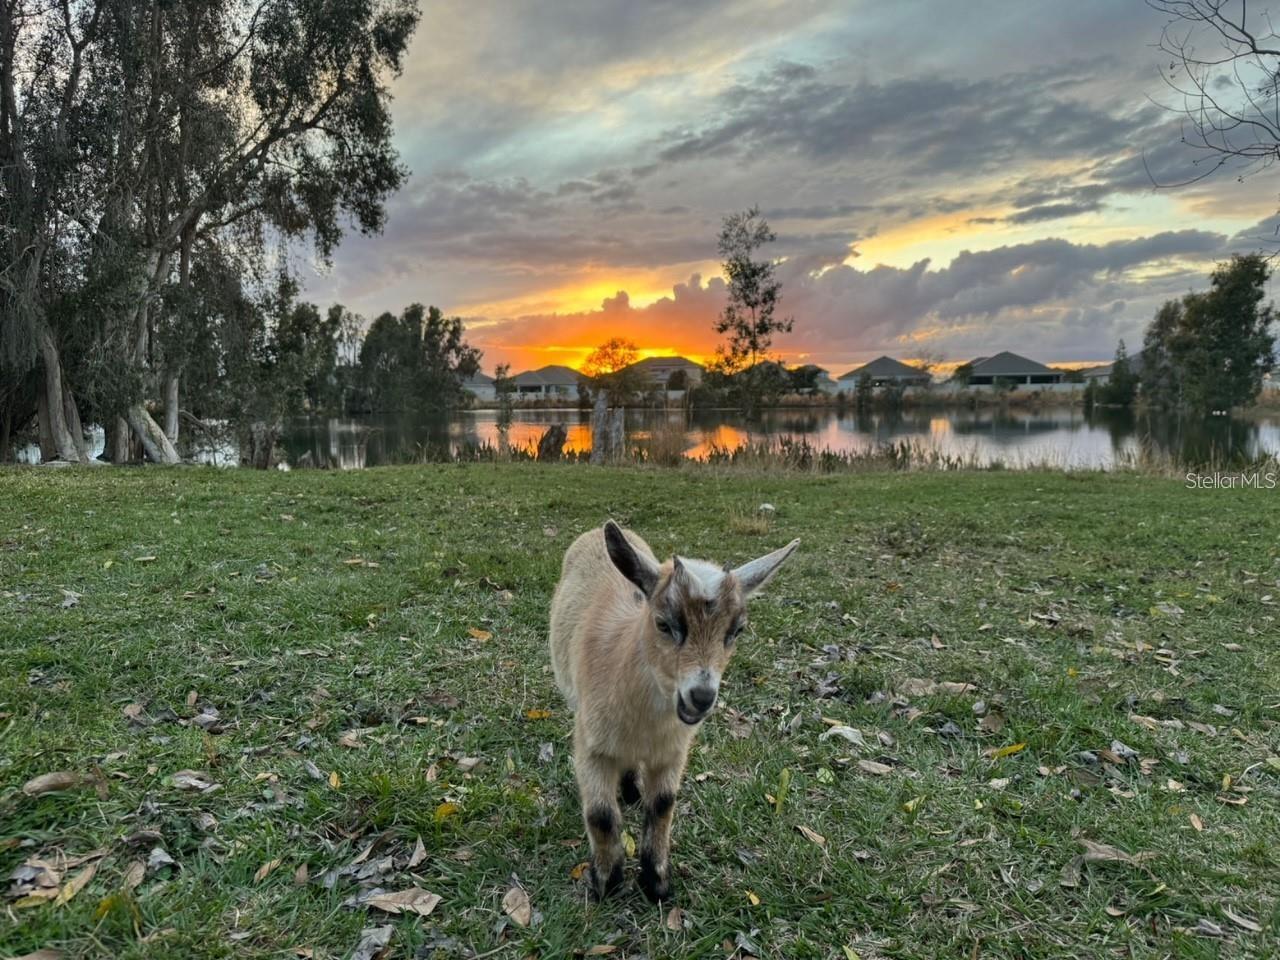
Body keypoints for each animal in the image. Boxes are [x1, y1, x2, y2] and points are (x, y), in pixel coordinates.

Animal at [550, 519, 798, 901]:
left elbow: (663, 804)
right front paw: (607, 883)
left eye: (737, 630)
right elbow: (601, 815)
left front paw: (656, 883)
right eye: (664, 624)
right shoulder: (590, 744)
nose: (701, 696)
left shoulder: (673, 752)